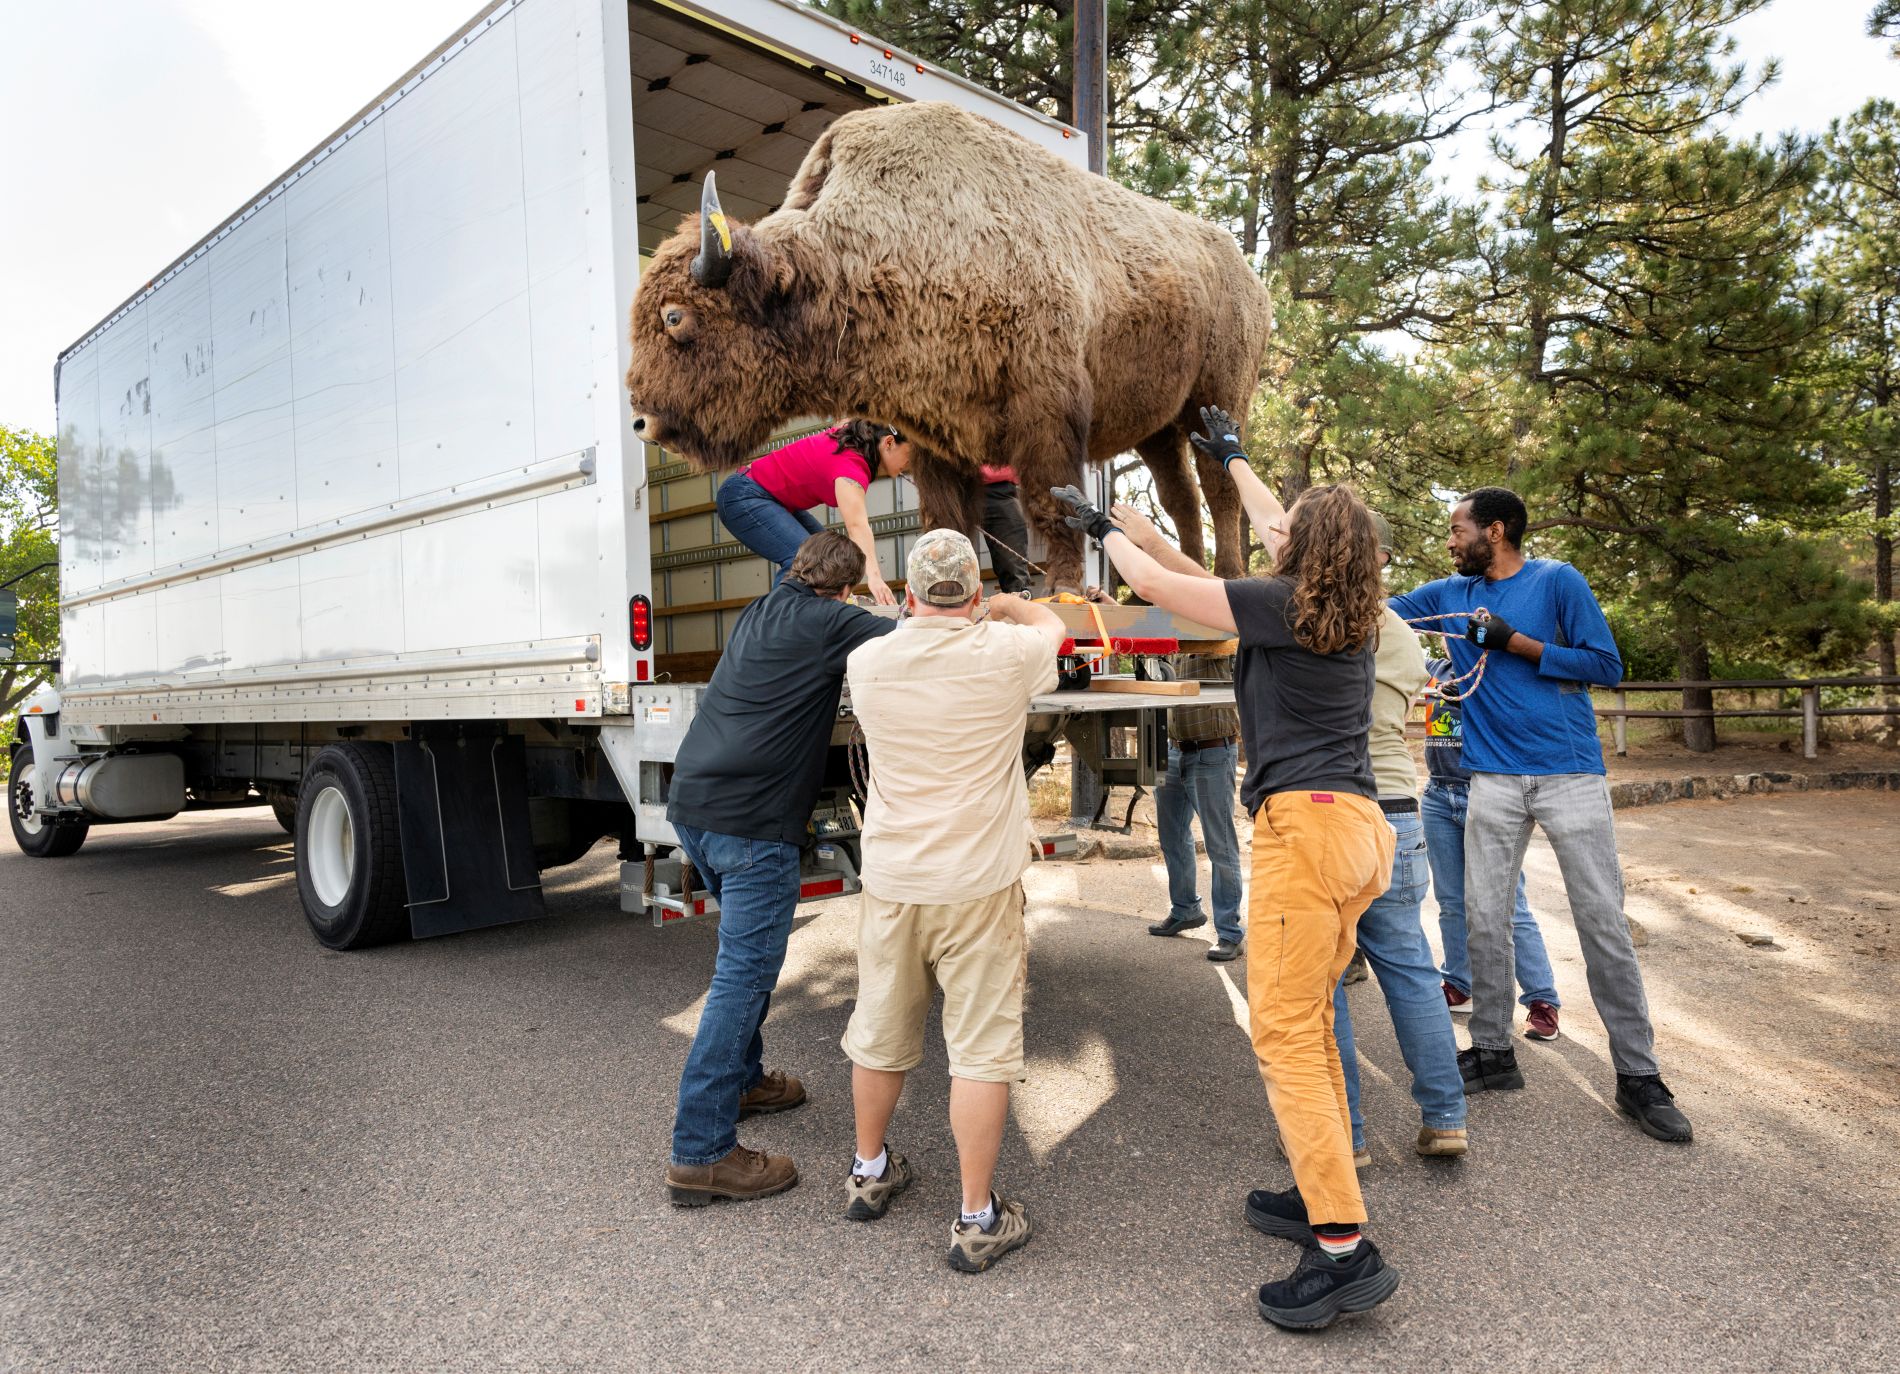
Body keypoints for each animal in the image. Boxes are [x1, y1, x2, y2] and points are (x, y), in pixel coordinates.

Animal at [625, 100, 1272, 589]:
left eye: (675, 316)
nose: (642, 420)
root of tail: (1247, 273)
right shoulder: (936, 433)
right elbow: (950, 521)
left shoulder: (1045, 411)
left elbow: (1052, 506)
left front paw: (1065, 591)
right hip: (1160, 424)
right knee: (1181, 494)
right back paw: (1191, 580)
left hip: (1215, 397)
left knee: (1220, 489)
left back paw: (1227, 581)